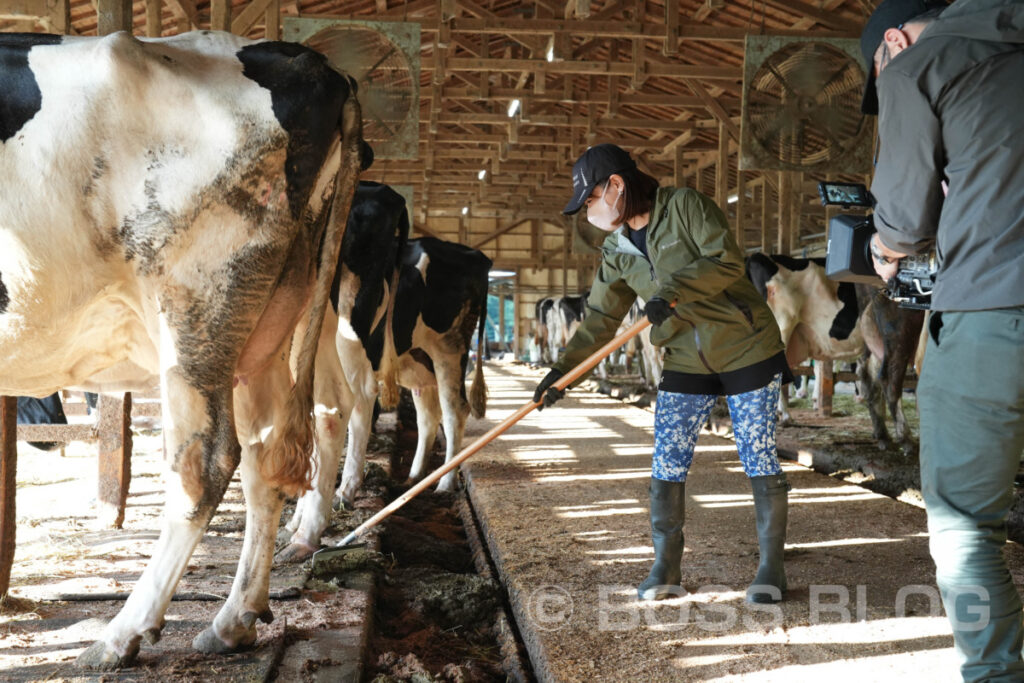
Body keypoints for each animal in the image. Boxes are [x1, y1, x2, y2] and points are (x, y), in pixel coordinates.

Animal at [0, 31, 368, 667]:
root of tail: (304, 58)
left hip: (194, 312)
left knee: (207, 464)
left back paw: (121, 635)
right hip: (264, 332)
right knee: (271, 451)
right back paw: (232, 620)